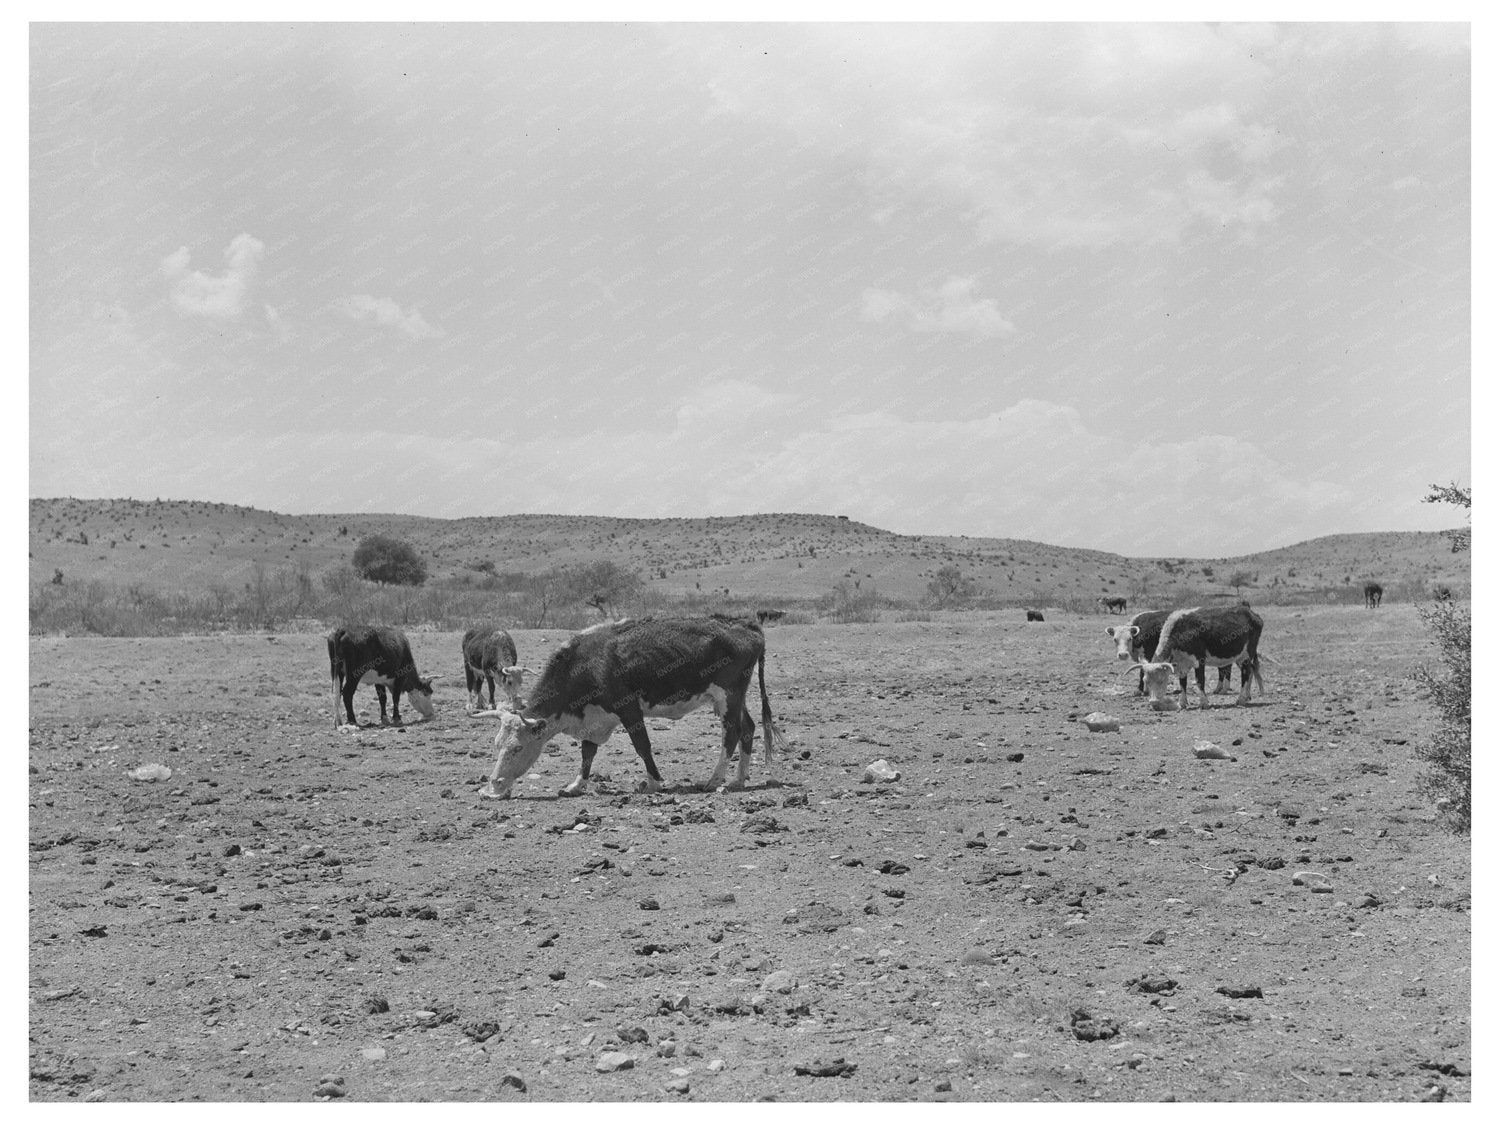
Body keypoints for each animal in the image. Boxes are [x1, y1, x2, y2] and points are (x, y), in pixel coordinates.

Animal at [475, 614, 782, 799]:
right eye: (496, 745)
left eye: (517, 748)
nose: (492, 788)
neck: (586, 664)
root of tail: (747, 625)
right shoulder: (593, 718)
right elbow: (587, 754)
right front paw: (575, 785)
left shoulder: (628, 709)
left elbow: (642, 745)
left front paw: (654, 782)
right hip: (733, 698)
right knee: (747, 728)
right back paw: (738, 780)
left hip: (729, 696)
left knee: (732, 733)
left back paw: (714, 779)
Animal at [1128, 606, 1264, 711]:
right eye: (1145, 681)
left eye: (1162, 680)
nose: (1154, 702)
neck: (1181, 630)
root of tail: (1251, 613)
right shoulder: (1182, 664)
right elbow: (1182, 683)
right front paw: (1182, 703)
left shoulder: (1199, 661)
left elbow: (1200, 681)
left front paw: (1204, 703)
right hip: (1240, 657)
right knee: (1250, 672)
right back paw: (1247, 696)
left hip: (1246, 655)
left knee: (1246, 675)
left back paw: (1241, 699)